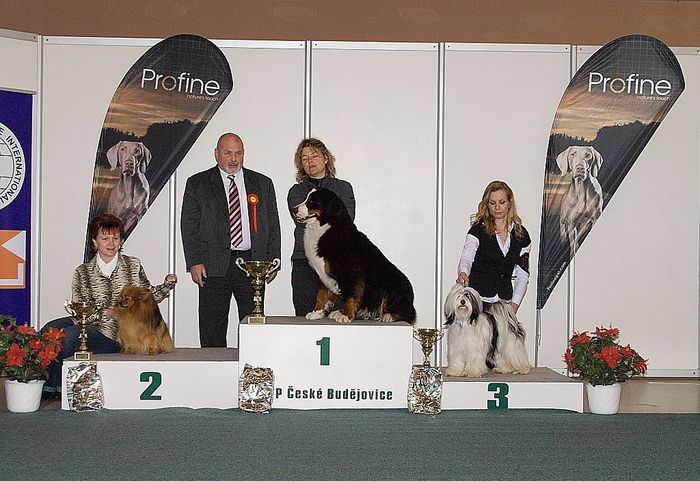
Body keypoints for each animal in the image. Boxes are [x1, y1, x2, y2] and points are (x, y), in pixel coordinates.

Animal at [293, 188, 416, 324]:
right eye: (306, 198)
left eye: (312, 201)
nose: (293, 209)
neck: (326, 229)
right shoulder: (322, 273)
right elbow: (321, 295)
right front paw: (317, 313)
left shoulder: (350, 272)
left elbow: (350, 296)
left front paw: (346, 315)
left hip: (394, 286)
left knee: (406, 313)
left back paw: (389, 315)